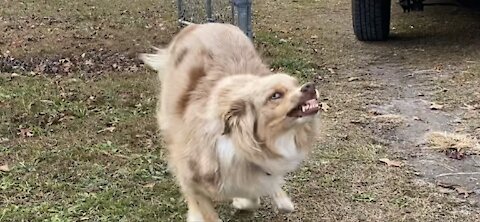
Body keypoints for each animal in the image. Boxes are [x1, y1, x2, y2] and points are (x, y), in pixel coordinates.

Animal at [139, 23, 318, 221]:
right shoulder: (189, 173)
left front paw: (242, 201)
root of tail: (199, 25)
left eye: (296, 84)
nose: (310, 86)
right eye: (275, 95)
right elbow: (199, 202)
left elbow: (255, 194)